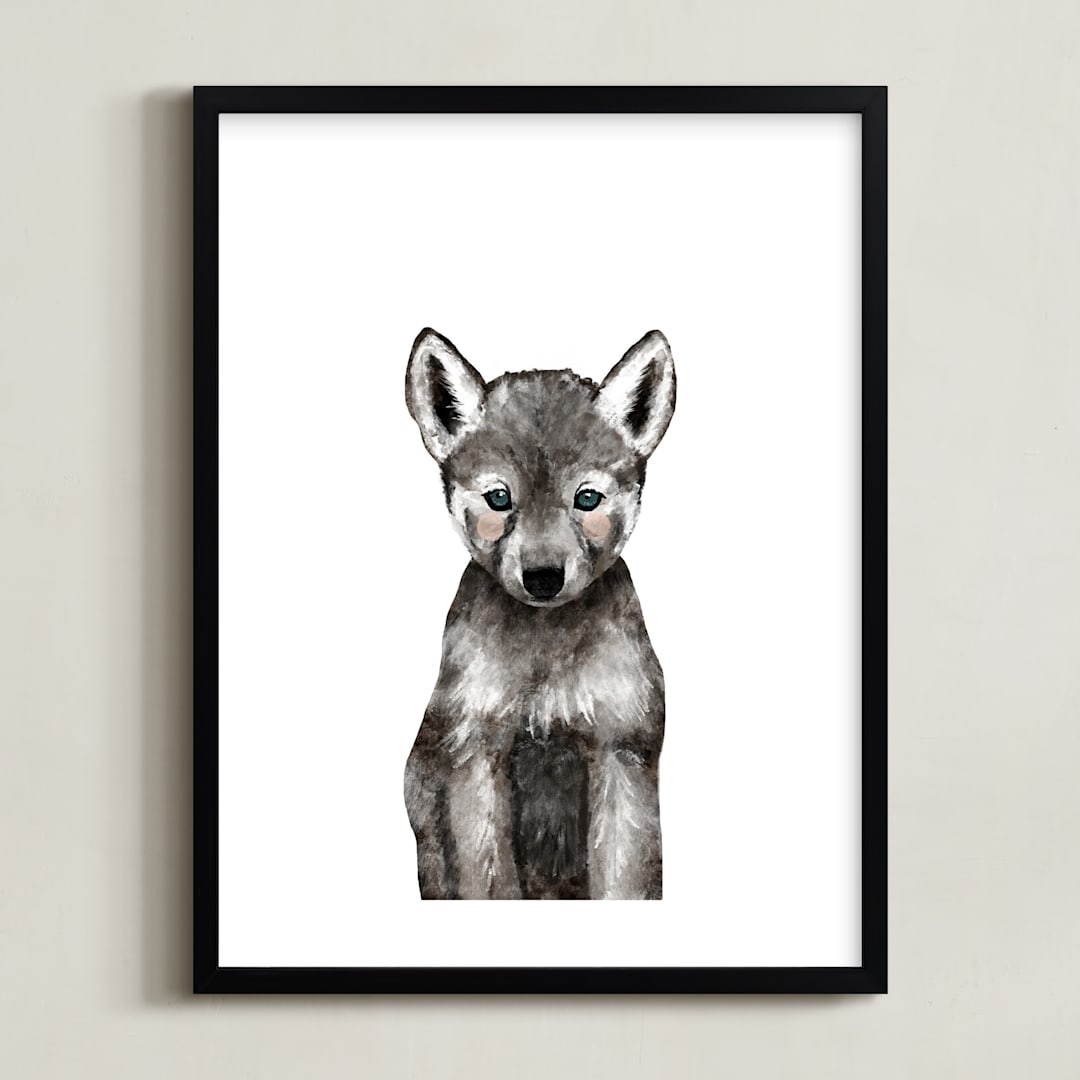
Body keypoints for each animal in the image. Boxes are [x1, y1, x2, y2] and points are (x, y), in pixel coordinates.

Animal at [403, 328, 676, 899]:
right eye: (498, 498)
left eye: (587, 498)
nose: (544, 577)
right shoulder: (475, 757)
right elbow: (487, 883)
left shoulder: (621, 753)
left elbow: (624, 882)